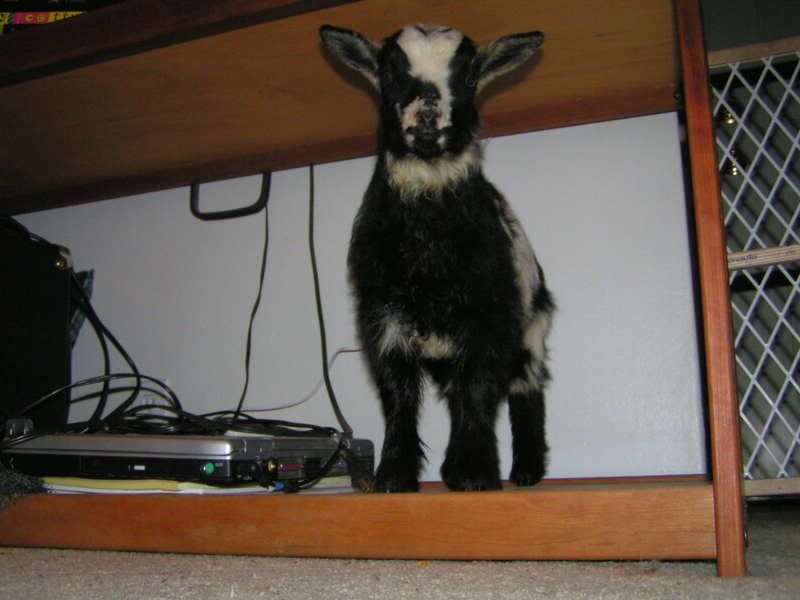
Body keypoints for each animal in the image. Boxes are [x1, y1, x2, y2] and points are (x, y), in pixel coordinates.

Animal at [320, 23, 553, 492]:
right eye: (389, 72)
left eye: (469, 75)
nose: (427, 116)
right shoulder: (384, 317)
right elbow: (398, 398)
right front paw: (394, 475)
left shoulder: (488, 318)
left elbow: (478, 393)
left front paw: (476, 473)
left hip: (532, 329)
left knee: (526, 390)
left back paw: (526, 471)